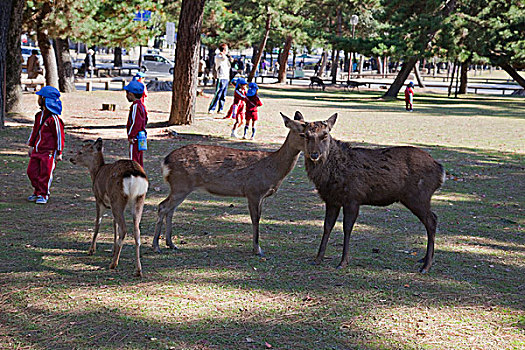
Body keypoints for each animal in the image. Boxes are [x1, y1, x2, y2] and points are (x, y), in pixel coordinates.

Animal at [69, 138, 147, 278]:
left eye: (81, 151)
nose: (71, 158)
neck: (96, 172)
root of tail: (134, 175)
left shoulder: (99, 199)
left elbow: (97, 223)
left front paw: (91, 250)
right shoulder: (111, 204)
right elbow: (113, 224)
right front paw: (113, 248)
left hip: (117, 198)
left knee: (124, 229)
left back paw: (113, 264)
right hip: (139, 199)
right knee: (136, 231)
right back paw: (138, 270)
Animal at [154, 113, 304, 258]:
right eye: (302, 134)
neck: (273, 170)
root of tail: (165, 162)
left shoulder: (260, 195)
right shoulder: (253, 191)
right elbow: (255, 219)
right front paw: (257, 250)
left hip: (179, 187)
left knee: (170, 209)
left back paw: (171, 244)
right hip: (181, 185)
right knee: (163, 206)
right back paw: (156, 246)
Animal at [284, 113, 444, 272]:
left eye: (325, 135)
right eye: (305, 135)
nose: (314, 154)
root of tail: (441, 170)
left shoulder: (353, 198)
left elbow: (347, 228)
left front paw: (343, 262)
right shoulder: (332, 200)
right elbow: (327, 226)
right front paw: (318, 259)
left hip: (418, 196)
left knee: (432, 220)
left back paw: (426, 266)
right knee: (432, 219)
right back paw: (423, 259)